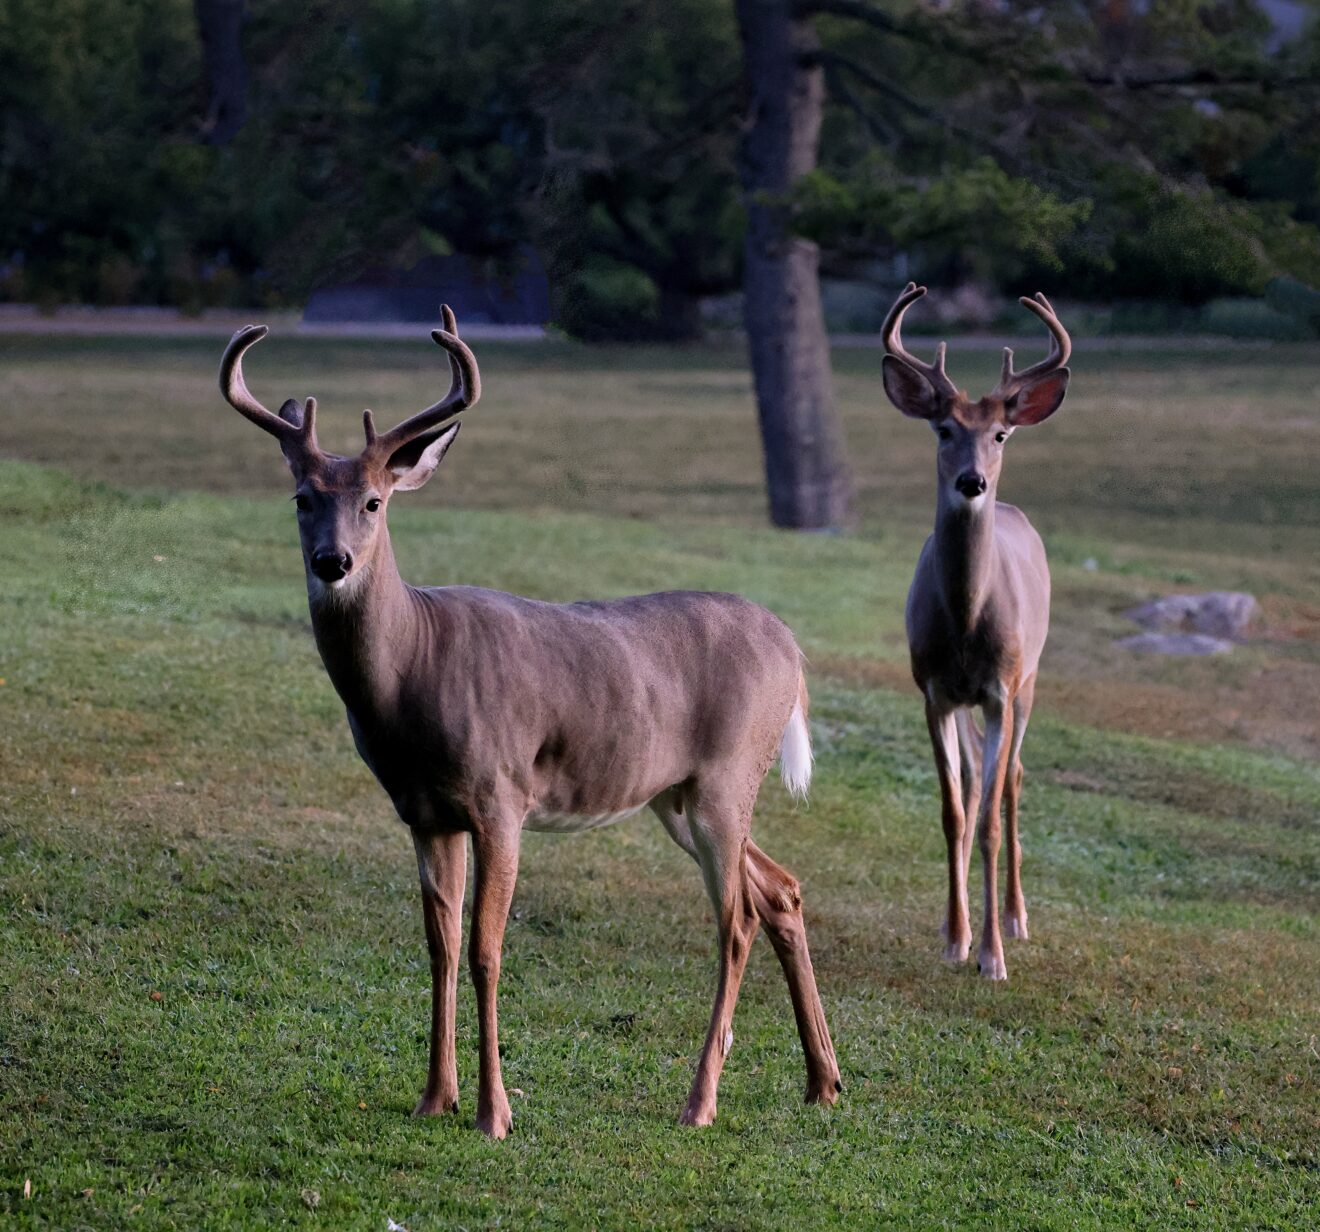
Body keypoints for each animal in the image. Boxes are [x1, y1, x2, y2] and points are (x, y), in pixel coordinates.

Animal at [213, 310, 834, 1135]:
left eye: (375, 501)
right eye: (301, 499)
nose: (332, 562)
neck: (415, 667)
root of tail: (792, 649)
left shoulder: (499, 796)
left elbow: (486, 950)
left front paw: (492, 1112)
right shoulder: (425, 813)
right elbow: (439, 946)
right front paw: (433, 1097)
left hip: (727, 779)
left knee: (736, 922)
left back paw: (700, 1101)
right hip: (675, 796)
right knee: (781, 889)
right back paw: (824, 1082)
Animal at [876, 281, 1071, 982]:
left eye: (1001, 434)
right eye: (944, 428)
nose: (972, 480)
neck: (965, 621)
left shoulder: (1000, 688)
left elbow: (986, 818)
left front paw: (991, 955)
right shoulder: (933, 690)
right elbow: (953, 812)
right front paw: (956, 937)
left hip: (1032, 679)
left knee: (1012, 778)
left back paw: (1014, 917)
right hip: (967, 703)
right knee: (972, 777)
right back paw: (954, 920)